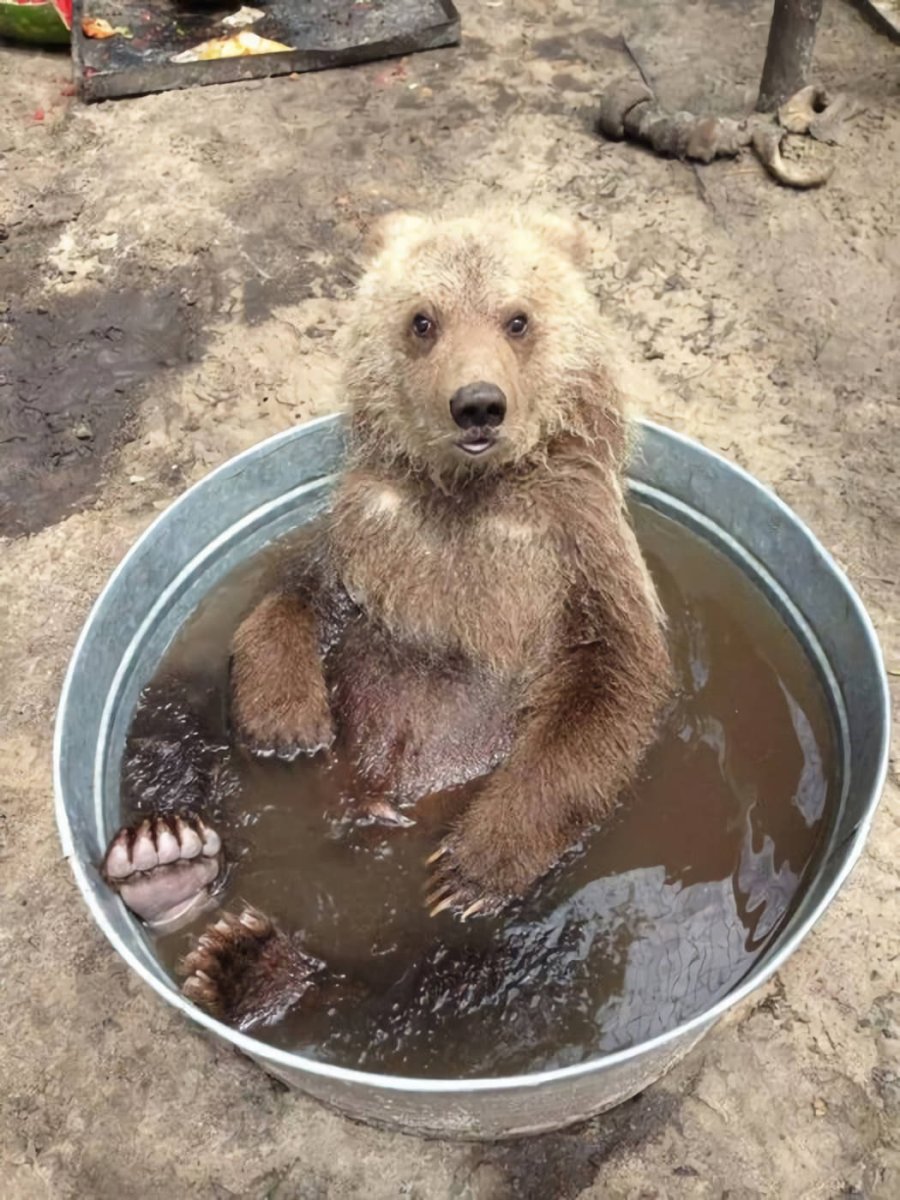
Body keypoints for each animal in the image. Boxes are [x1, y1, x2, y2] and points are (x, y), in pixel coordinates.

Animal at [100, 207, 673, 1029]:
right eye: (422, 320)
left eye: (518, 318)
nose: (477, 403)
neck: (466, 494)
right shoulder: (368, 528)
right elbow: (293, 599)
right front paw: (288, 723)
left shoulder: (575, 551)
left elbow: (608, 687)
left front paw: (469, 870)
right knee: (175, 722)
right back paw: (171, 862)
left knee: (452, 979)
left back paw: (247, 951)